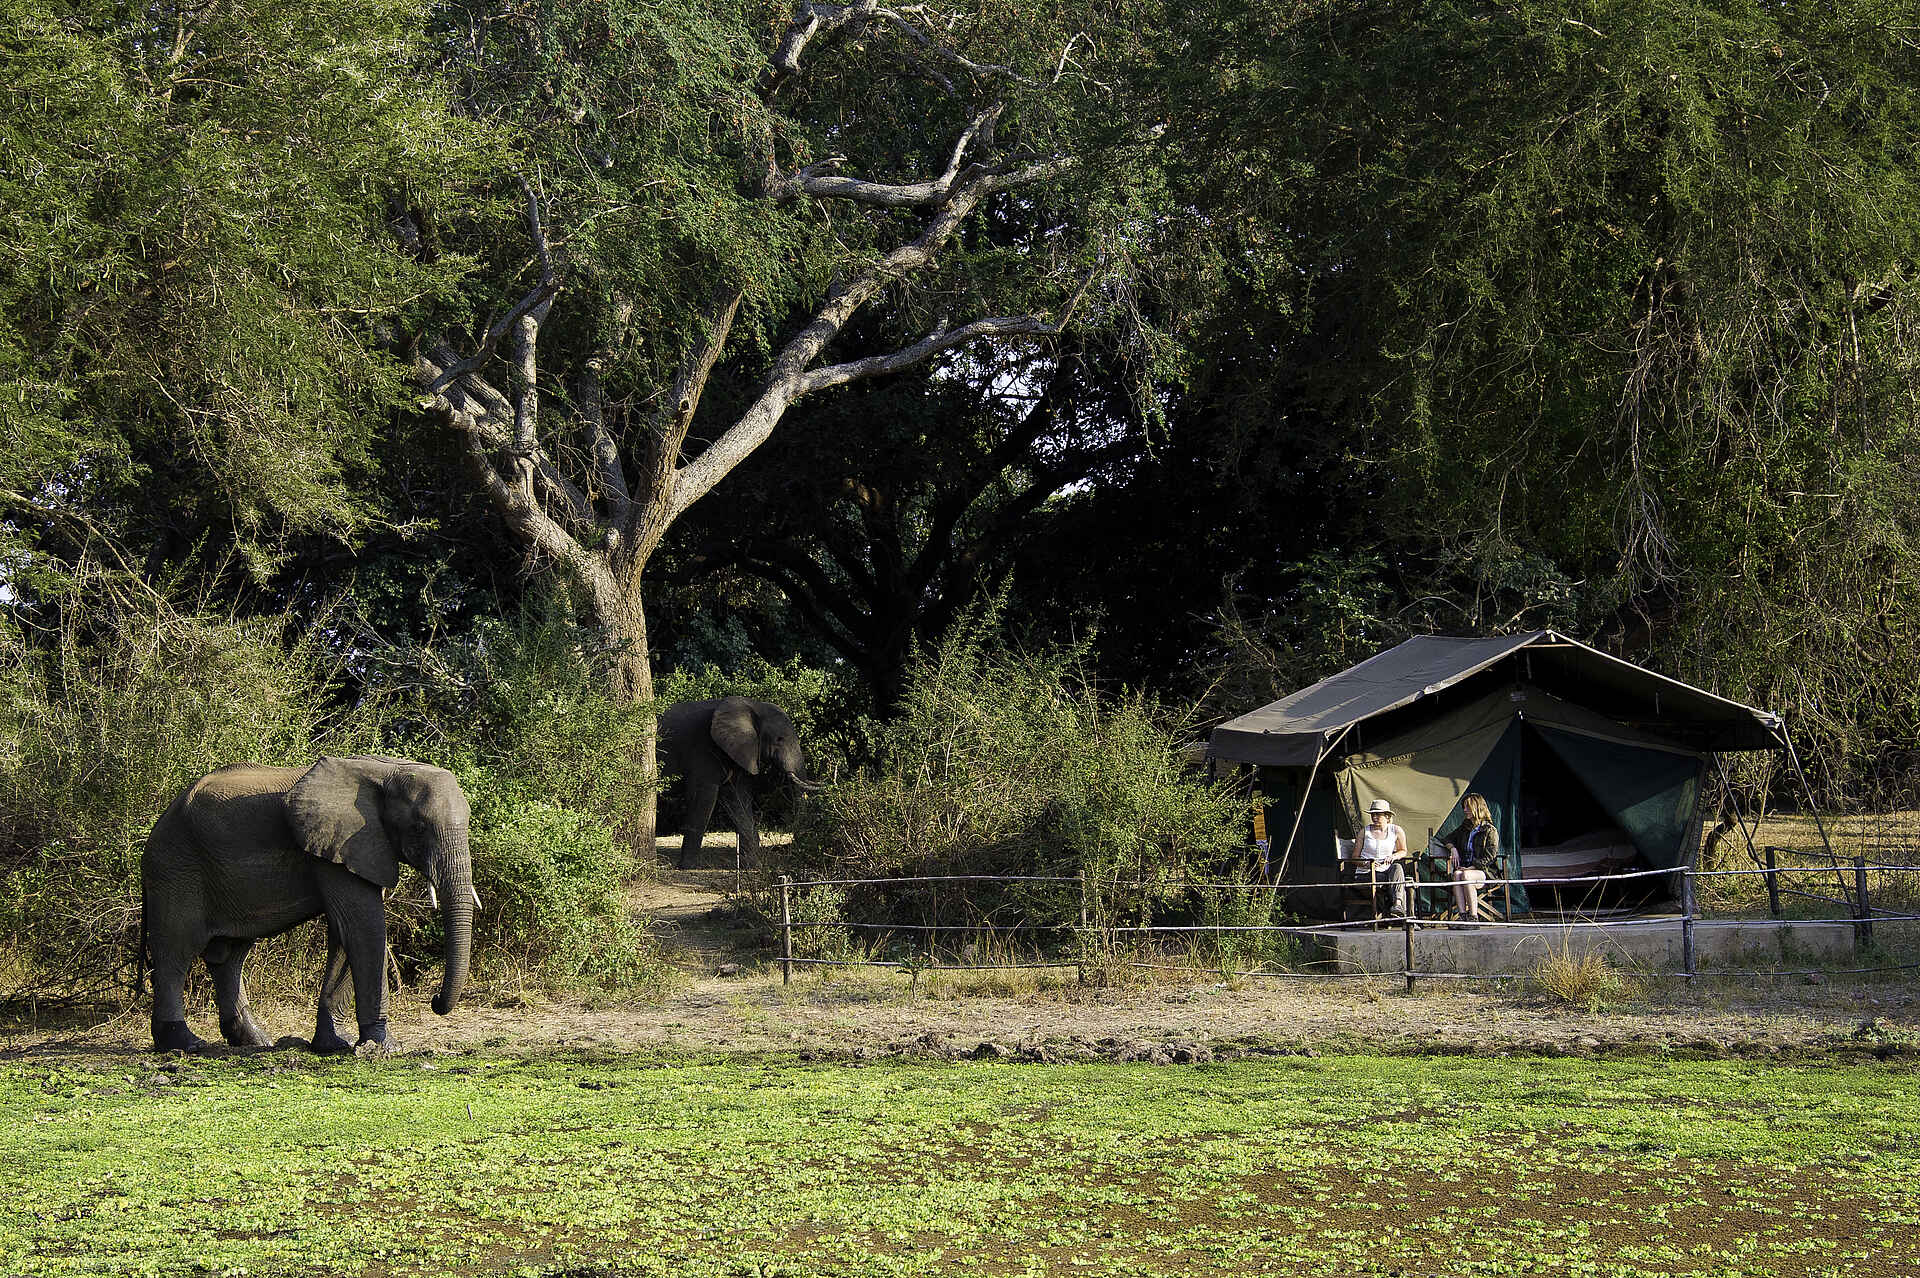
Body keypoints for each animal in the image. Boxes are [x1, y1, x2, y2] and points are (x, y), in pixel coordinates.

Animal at [140, 755, 475, 1055]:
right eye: (418, 827)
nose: (434, 1000)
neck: (387, 770)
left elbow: (344, 933)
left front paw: (334, 1044)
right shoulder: (339, 846)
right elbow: (364, 928)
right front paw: (386, 1047)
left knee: (229, 955)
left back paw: (256, 1041)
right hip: (176, 869)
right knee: (175, 951)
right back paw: (185, 1044)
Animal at [658, 697, 820, 870]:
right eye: (779, 739)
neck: (752, 704)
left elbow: (737, 799)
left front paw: (753, 867)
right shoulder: (703, 750)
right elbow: (702, 797)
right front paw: (687, 867)